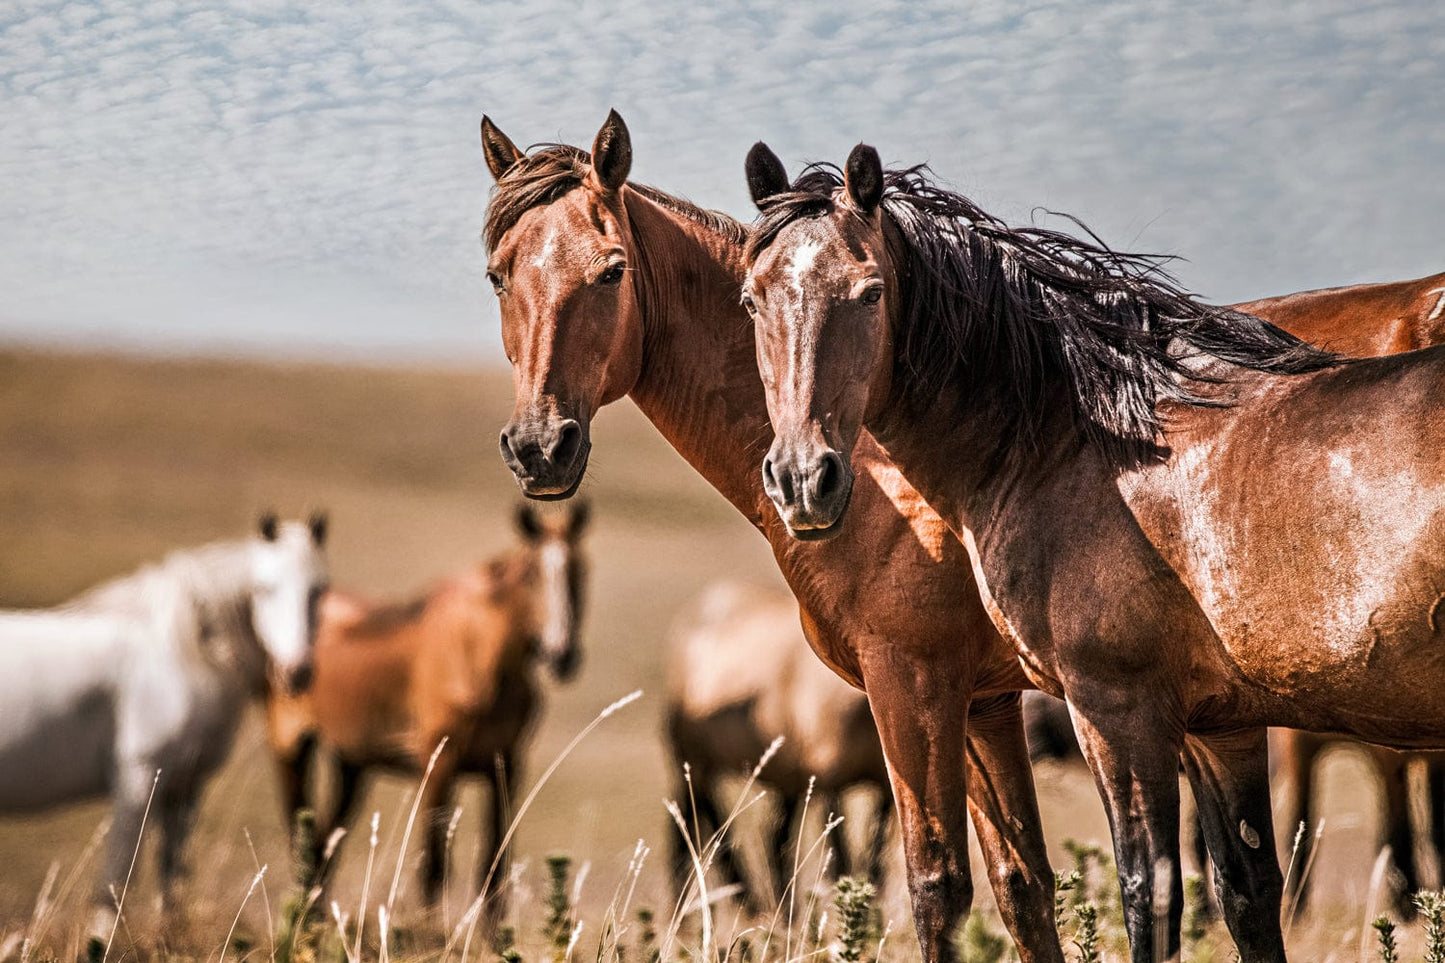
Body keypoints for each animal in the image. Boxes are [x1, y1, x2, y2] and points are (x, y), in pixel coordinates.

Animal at [0, 514, 328, 941]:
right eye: (264, 589)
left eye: (320, 590)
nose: (297, 673)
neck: (179, 652)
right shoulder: (138, 778)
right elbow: (116, 879)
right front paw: (100, 944)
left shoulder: (183, 788)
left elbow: (172, 877)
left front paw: (168, 942)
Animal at [264, 501, 588, 918]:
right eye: (531, 574)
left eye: (579, 570)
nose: (561, 654)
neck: (481, 659)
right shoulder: (439, 767)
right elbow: (434, 868)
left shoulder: (507, 766)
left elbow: (494, 868)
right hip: (290, 747)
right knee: (301, 840)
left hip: (351, 765)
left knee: (322, 845)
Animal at [665, 581, 893, 911]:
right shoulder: (830, 785)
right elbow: (843, 862)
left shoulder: (886, 790)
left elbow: (875, 865)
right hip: (694, 765)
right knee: (694, 828)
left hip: (786, 784)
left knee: (772, 839)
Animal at [740, 142, 1445, 962]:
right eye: (752, 300)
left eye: (870, 293)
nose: (802, 479)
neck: (1077, 441)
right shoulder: (1219, 727)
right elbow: (1247, 894)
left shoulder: (1116, 710)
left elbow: (1150, 894)